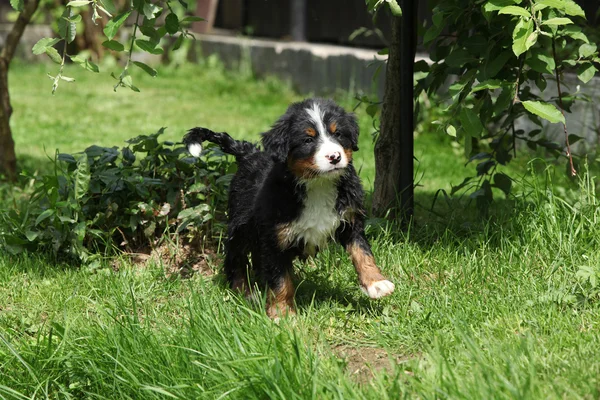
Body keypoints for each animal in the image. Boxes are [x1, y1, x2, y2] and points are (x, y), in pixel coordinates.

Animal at [185, 97, 396, 318]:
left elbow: (362, 251)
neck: (318, 184)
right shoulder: (275, 236)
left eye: (338, 134)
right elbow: (280, 279)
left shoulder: (350, 220)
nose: (335, 157)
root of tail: (250, 153)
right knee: (236, 258)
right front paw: (282, 313)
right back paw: (245, 292)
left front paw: (376, 282)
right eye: (308, 140)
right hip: (240, 225)